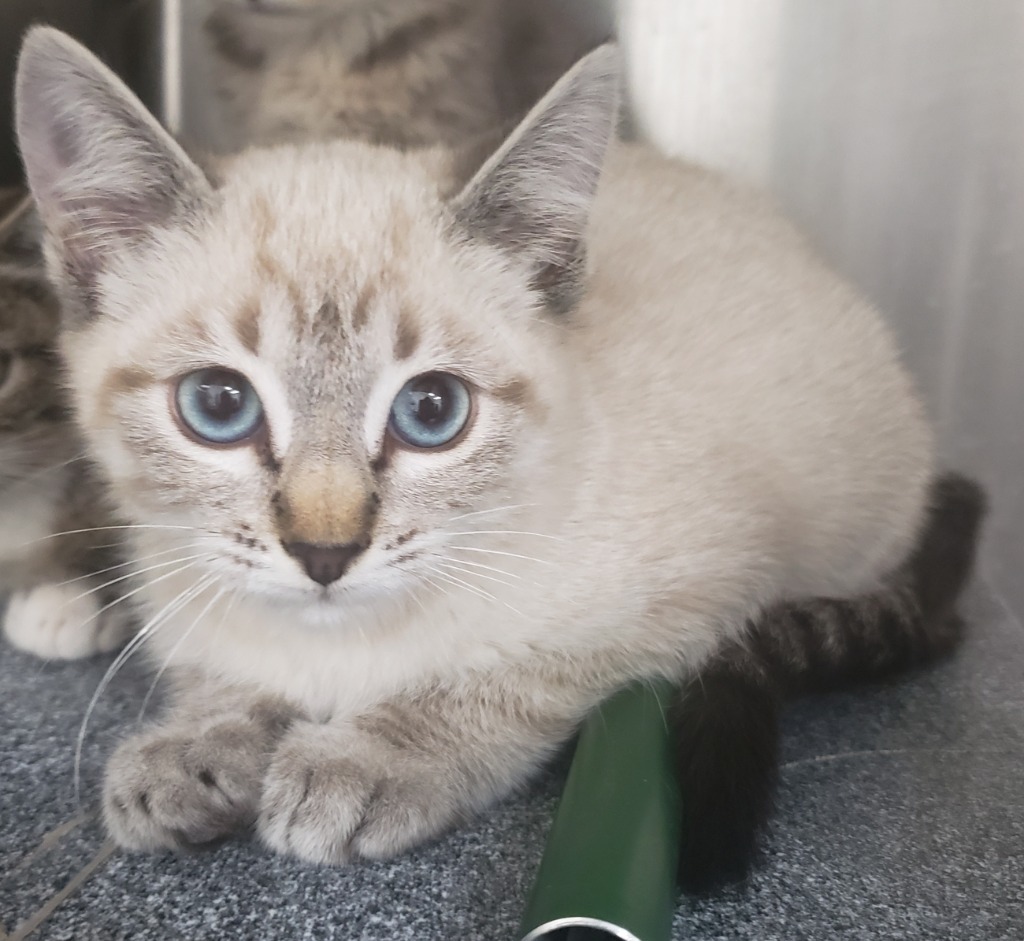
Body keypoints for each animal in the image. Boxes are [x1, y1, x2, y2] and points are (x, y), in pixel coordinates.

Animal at [16, 33, 933, 864]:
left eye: (432, 411)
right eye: (217, 404)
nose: (324, 552)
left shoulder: (704, 585)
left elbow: (502, 679)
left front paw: (366, 759)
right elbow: (219, 670)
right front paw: (195, 746)